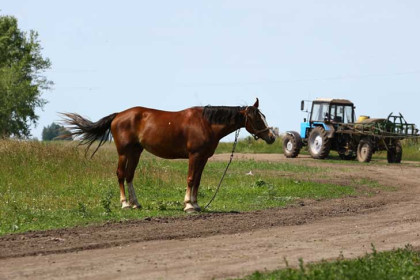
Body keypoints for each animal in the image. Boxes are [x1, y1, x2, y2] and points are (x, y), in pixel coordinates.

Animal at [60, 98, 274, 212]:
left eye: (263, 117)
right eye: (257, 118)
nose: (271, 137)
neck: (206, 123)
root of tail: (118, 115)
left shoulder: (203, 158)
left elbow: (198, 180)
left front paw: (196, 204)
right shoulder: (194, 156)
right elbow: (190, 179)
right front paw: (188, 205)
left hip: (136, 152)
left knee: (129, 176)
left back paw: (136, 203)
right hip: (123, 152)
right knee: (121, 175)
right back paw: (125, 204)